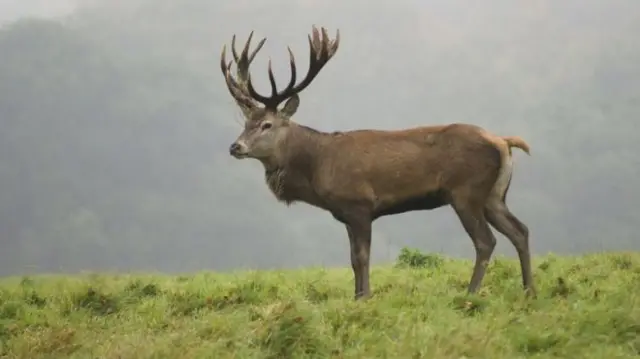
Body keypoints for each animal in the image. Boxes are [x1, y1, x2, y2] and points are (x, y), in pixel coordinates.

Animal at [220, 26, 536, 300]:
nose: (235, 147)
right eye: (246, 123)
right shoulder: (345, 213)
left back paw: (470, 294)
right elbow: (352, 259)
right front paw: (356, 296)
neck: (317, 166)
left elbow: (362, 257)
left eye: (267, 125)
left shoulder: (359, 204)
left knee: (486, 241)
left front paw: (365, 297)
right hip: (494, 195)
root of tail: (502, 142)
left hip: (465, 191)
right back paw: (529, 291)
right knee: (520, 230)